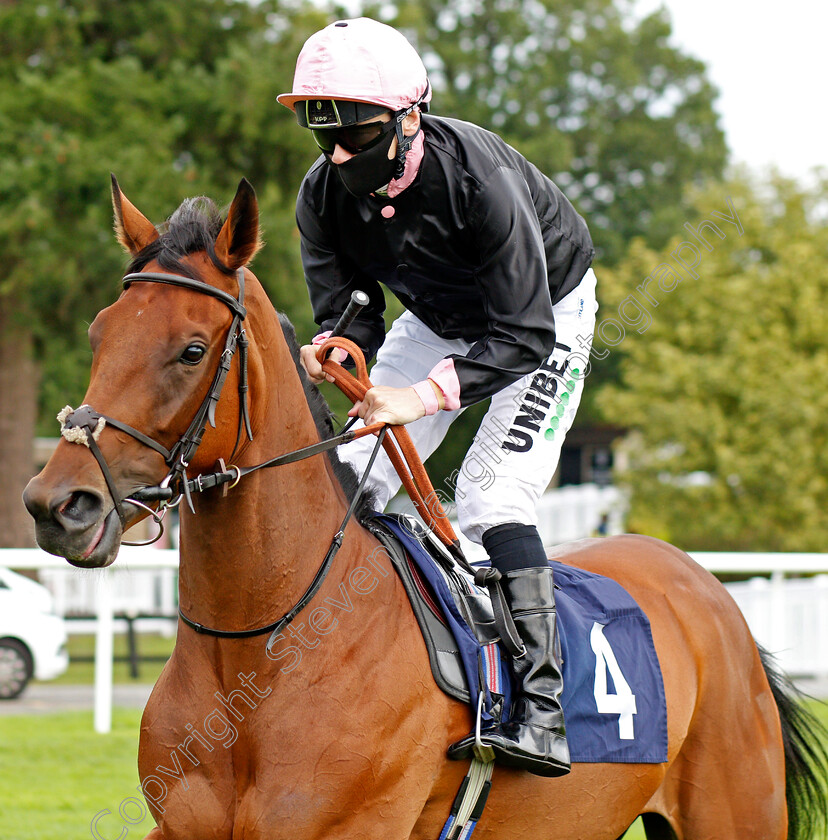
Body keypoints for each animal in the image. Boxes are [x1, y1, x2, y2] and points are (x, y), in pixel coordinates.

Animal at [22, 179, 824, 840]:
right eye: (98, 334)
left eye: (191, 350)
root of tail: (703, 587)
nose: (57, 504)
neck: (257, 649)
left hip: (735, 812)